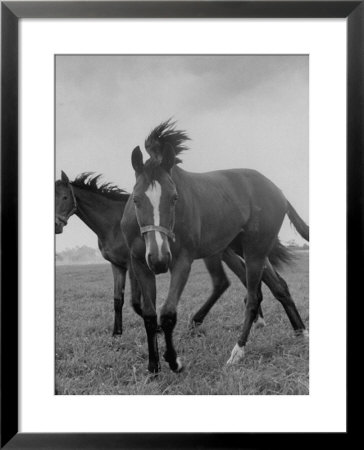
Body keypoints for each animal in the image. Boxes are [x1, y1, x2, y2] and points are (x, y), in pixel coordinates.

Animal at [54, 171, 284, 334]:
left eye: (64, 197)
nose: (56, 225)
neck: (112, 223)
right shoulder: (117, 265)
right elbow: (118, 300)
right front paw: (116, 333)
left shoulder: (133, 264)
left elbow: (136, 302)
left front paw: (155, 327)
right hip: (230, 252)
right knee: (251, 281)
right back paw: (259, 321)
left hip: (227, 253)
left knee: (240, 281)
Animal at [121, 119, 308, 372]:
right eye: (136, 199)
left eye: (174, 198)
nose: (159, 260)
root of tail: (279, 192)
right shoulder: (140, 263)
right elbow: (150, 316)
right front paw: (153, 366)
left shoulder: (183, 261)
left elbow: (168, 313)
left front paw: (174, 361)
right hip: (241, 250)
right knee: (278, 287)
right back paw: (301, 332)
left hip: (254, 251)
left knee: (252, 297)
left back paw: (238, 351)